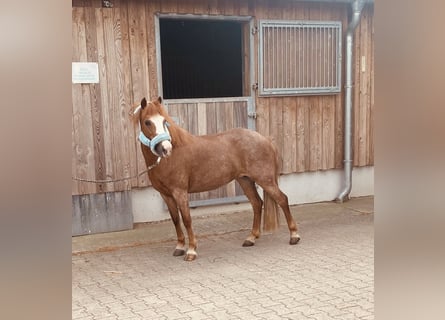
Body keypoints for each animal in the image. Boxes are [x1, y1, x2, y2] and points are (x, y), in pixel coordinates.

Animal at [132, 97, 298, 260]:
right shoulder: (166, 195)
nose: (166, 148)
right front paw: (179, 247)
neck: (170, 158)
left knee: (282, 199)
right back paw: (251, 238)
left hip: (265, 180)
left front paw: (191, 251)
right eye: (147, 122)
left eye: (164, 121)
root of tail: (265, 139)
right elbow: (175, 219)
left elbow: (186, 219)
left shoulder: (180, 192)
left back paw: (294, 236)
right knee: (257, 204)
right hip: (245, 180)